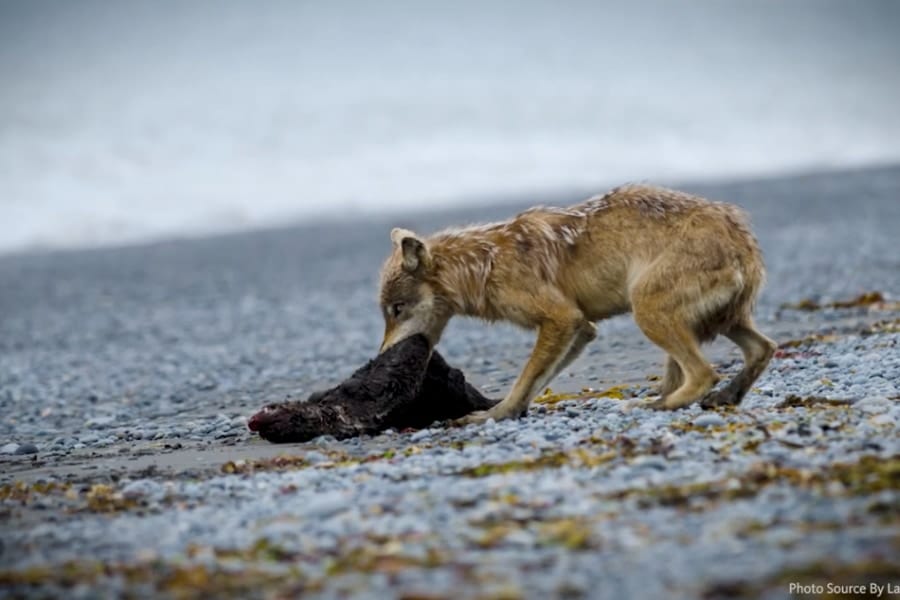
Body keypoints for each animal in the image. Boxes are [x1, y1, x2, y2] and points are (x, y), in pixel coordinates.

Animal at [376, 183, 776, 422]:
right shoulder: (582, 328)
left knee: (704, 374)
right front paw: (511, 412)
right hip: (718, 322)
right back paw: (722, 396)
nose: (382, 356)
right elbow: (536, 382)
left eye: (396, 310)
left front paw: (497, 413)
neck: (483, 265)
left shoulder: (561, 318)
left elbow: (524, 379)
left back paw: (656, 404)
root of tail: (743, 240)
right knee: (763, 349)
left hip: (649, 312)